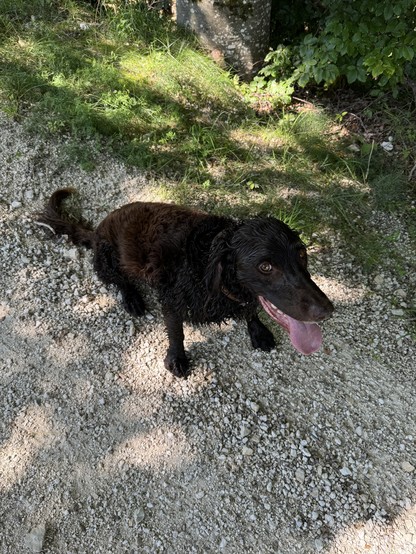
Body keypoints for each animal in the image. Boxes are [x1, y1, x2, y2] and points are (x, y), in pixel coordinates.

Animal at [37, 189, 334, 376]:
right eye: (266, 266)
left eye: (302, 253)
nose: (327, 310)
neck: (206, 262)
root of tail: (97, 229)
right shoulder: (171, 300)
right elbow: (176, 332)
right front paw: (177, 359)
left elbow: (251, 310)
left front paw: (259, 331)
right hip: (109, 260)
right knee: (120, 281)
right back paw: (132, 299)